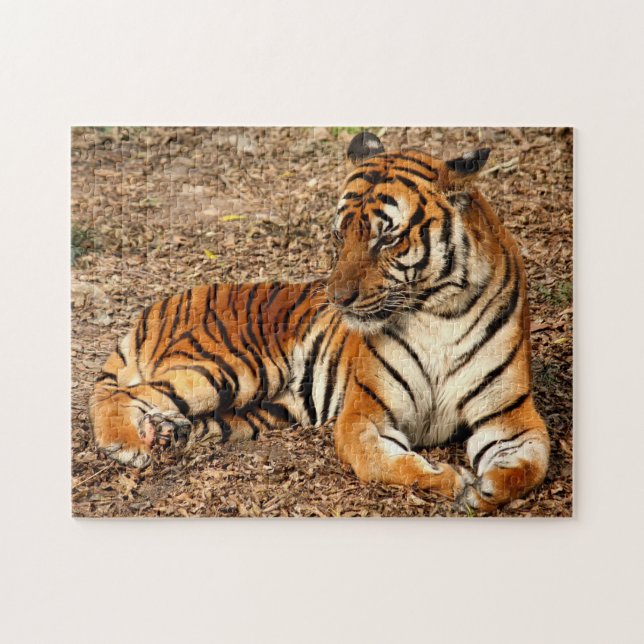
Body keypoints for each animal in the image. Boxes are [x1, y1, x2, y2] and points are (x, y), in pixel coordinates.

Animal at [89, 132, 550, 512]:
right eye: (339, 235)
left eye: (387, 238)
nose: (338, 299)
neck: (439, 313)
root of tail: (159, 305)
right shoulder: (364, 414)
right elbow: (387, 463)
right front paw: (451, 481)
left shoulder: (510, 417)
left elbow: (531, 465)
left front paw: (486, 489)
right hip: (229, 368)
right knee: (122, 395)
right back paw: (126, 444)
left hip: (263, 409)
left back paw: (167, 433)